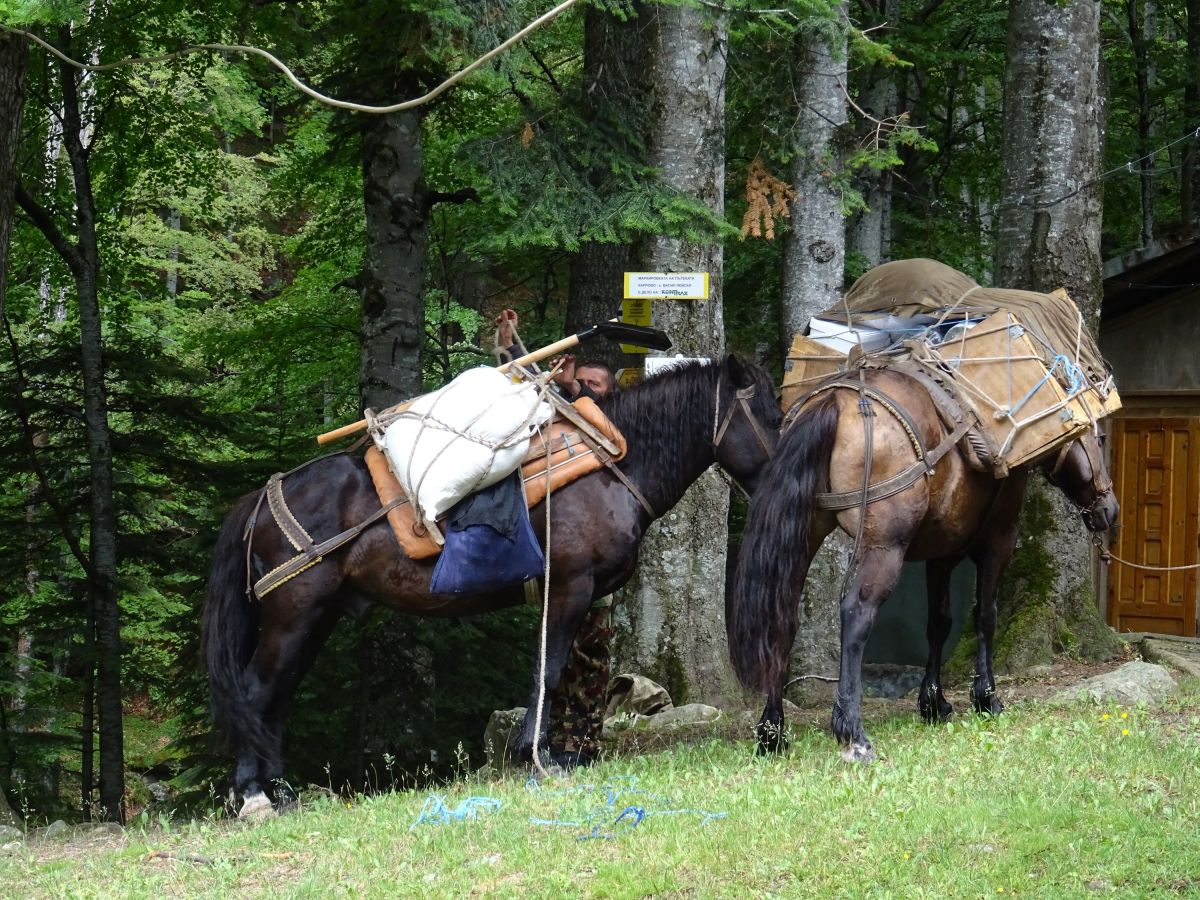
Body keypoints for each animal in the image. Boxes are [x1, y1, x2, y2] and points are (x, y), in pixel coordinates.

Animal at [201, 355, 782, 820]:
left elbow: (566, 673)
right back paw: (253, 794)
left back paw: (281, 789)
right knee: (256, 691)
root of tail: (261, 498)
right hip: (292, 615)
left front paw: (554, 753)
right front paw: (537, 757)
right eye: (771, 416)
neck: (614, 463)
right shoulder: (568, 587)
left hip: (315, 619)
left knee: (277, 696)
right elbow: (548, 670)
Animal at [724, 367, 1118, 763]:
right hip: (884, 549)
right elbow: (985, 616)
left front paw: (933, 702)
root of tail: (835, 399)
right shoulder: (998, 542)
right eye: (1099, 439)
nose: (1110, 510)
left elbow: (938, 623)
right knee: (856, 614)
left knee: (782, 619)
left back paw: (772, 734)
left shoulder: (941, 555)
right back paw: (852, 732)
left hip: (805, 534)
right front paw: (986, 697)